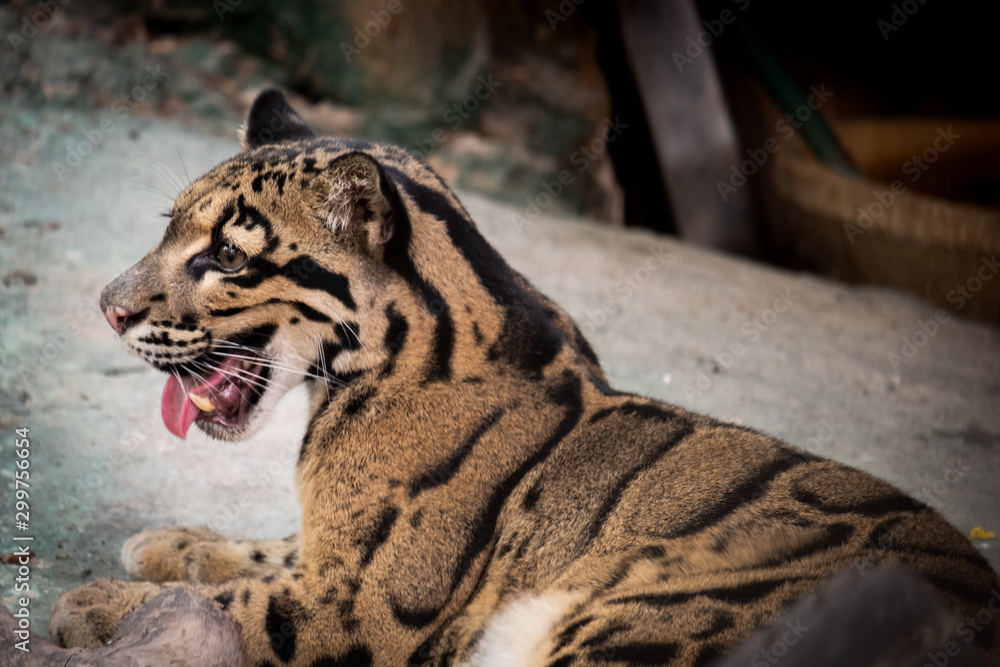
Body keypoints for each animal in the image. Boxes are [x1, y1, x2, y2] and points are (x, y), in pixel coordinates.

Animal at [48, 89, 1000, 667]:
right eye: (169, 227)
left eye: (226, 258)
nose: (107, 307)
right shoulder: (336, 555)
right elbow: (265, 547)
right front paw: (172, 545)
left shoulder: (361, 605)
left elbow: (245, 603)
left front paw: (102, 609)